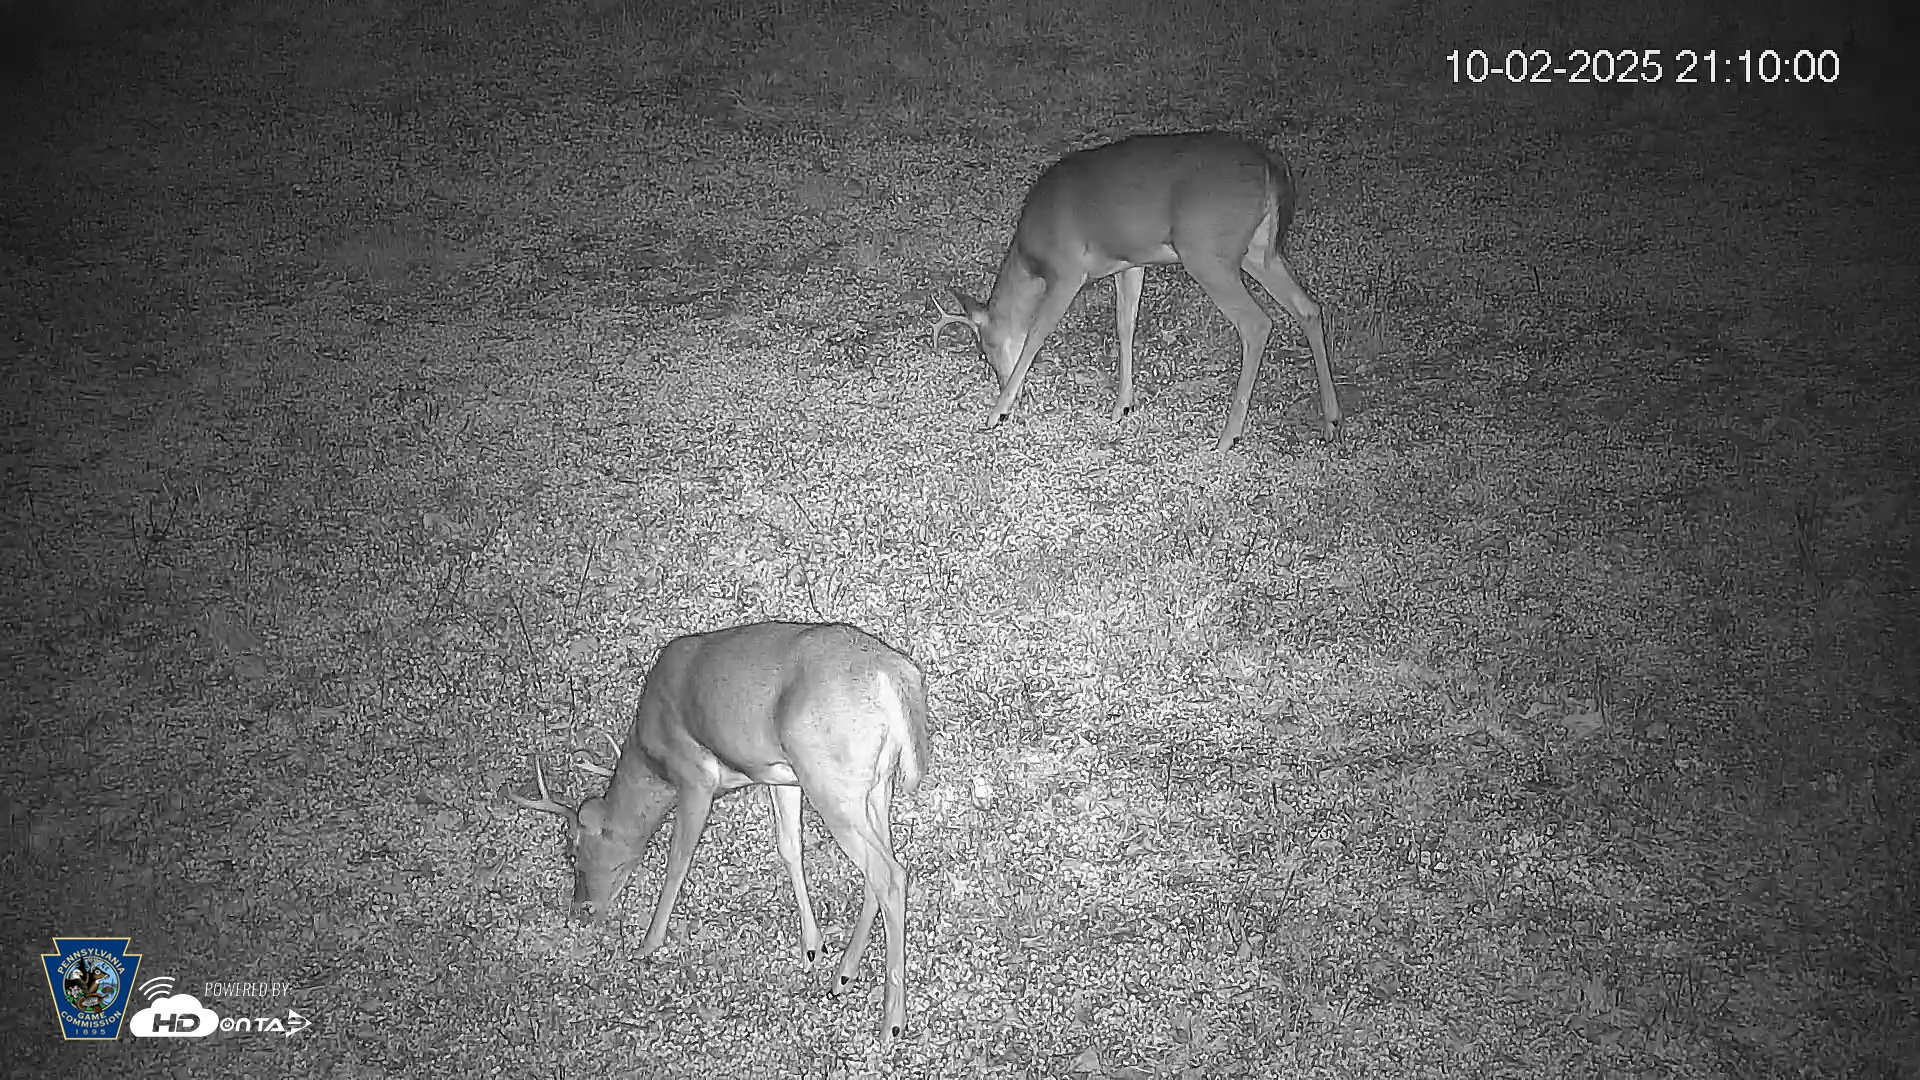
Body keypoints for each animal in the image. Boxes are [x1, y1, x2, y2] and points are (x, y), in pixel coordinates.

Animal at [510, 621, 930, 1046]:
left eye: (572, 851)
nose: (581, 909)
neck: (650, 755)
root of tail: (894, 674)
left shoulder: (694, 777)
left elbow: (678, 862)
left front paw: (647, 944)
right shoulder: (779, 776)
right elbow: (789, 847)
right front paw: (812, 946)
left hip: (829, 777)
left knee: (889, 874)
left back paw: (892, 1021)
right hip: (872, 784)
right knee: (883, 867)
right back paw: (843, 975)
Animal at [932, 131, 1341, 451]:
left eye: (985, 349)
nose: (1004, 385)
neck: (1031, 260)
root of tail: (1271, 164)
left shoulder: (1067, 269)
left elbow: (1035, 335)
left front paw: (997, 411)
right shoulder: (1128, 263)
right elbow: (1125, 326)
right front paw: (1122, 406)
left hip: (1207, 252)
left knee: (1257, 324)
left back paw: (1229, 436)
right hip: (1259, 251)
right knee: (1308, 307)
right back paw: (1332, 421)